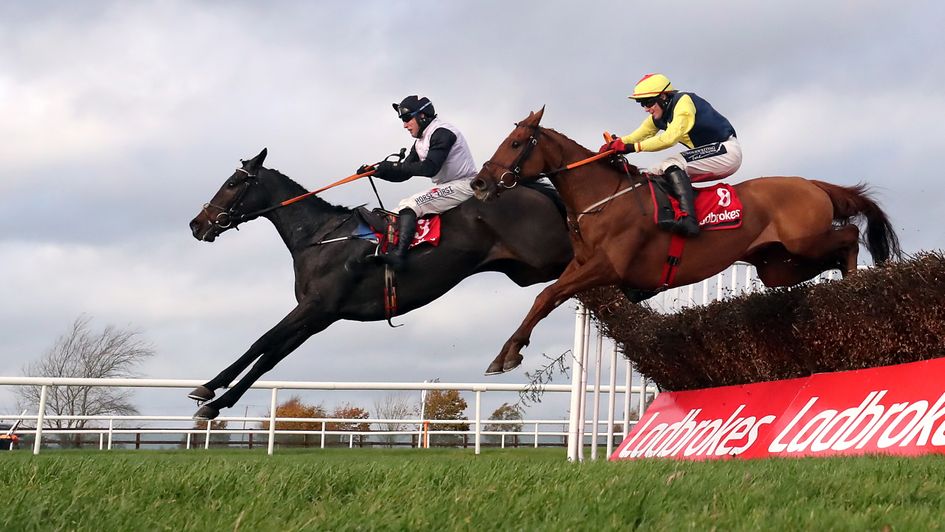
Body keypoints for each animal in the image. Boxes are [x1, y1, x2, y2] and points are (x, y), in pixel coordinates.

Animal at [184, 150, 568, 420]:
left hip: (549, 255)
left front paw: (207, 389)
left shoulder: (315, 305)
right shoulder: (319, 317)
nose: (196, 224)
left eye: (232, 183)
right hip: (529, 269)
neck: (319, 236)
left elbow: (261, 342)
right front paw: (216, 401)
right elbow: (269, 358)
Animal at [470, 108, 900, 374]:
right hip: (779, 266)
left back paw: (859, 287)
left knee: (849, 236)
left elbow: (547, 294)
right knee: (833, 253)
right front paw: (506, 354)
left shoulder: (609, 267)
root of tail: (811, 183)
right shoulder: (581, 265)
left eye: (514, 143)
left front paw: (508, 353)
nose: (480, 183)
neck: (603, 197)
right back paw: (848, 292)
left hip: (802, 242)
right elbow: (543, 300)